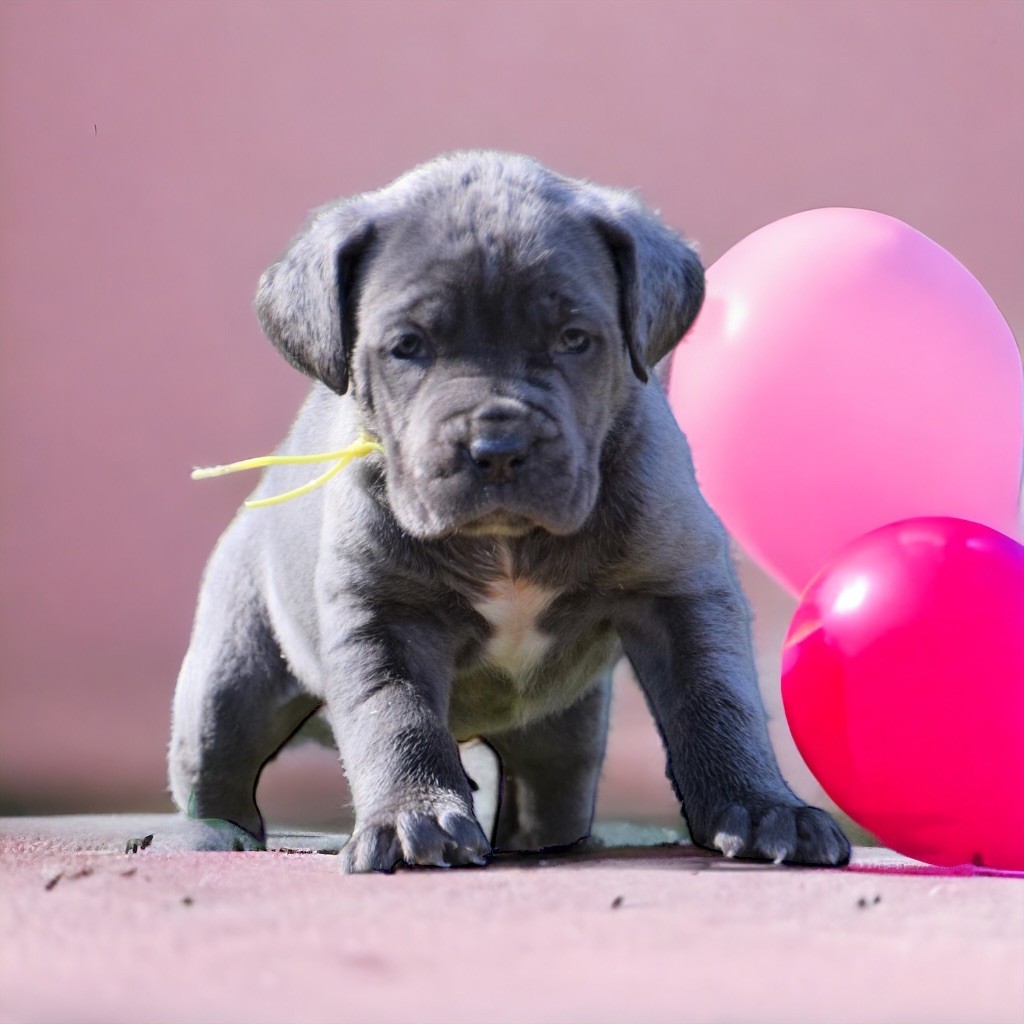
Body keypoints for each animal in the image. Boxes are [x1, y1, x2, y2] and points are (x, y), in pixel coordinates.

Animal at [167, 151, 851, 872]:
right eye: (408, 346)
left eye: (574, 338)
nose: (496, 447)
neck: (508, 543)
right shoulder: (381, 616)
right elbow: (396, 718)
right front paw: (413, 819)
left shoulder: (681, 590)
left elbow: (718, 701)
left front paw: (766, 809)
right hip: (229, 679)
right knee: (215, 765)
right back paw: (213, 832)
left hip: (564, 731)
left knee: (551, 786)